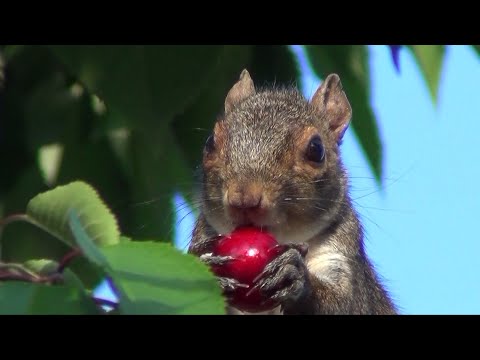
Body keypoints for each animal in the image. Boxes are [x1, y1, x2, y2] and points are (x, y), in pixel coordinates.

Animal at [188, 70, 398, 316]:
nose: (243, 199)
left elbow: (343, 304)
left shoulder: (342, 257)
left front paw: (294, 277)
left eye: (316, 149)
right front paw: (205, 267)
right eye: (210, 143)